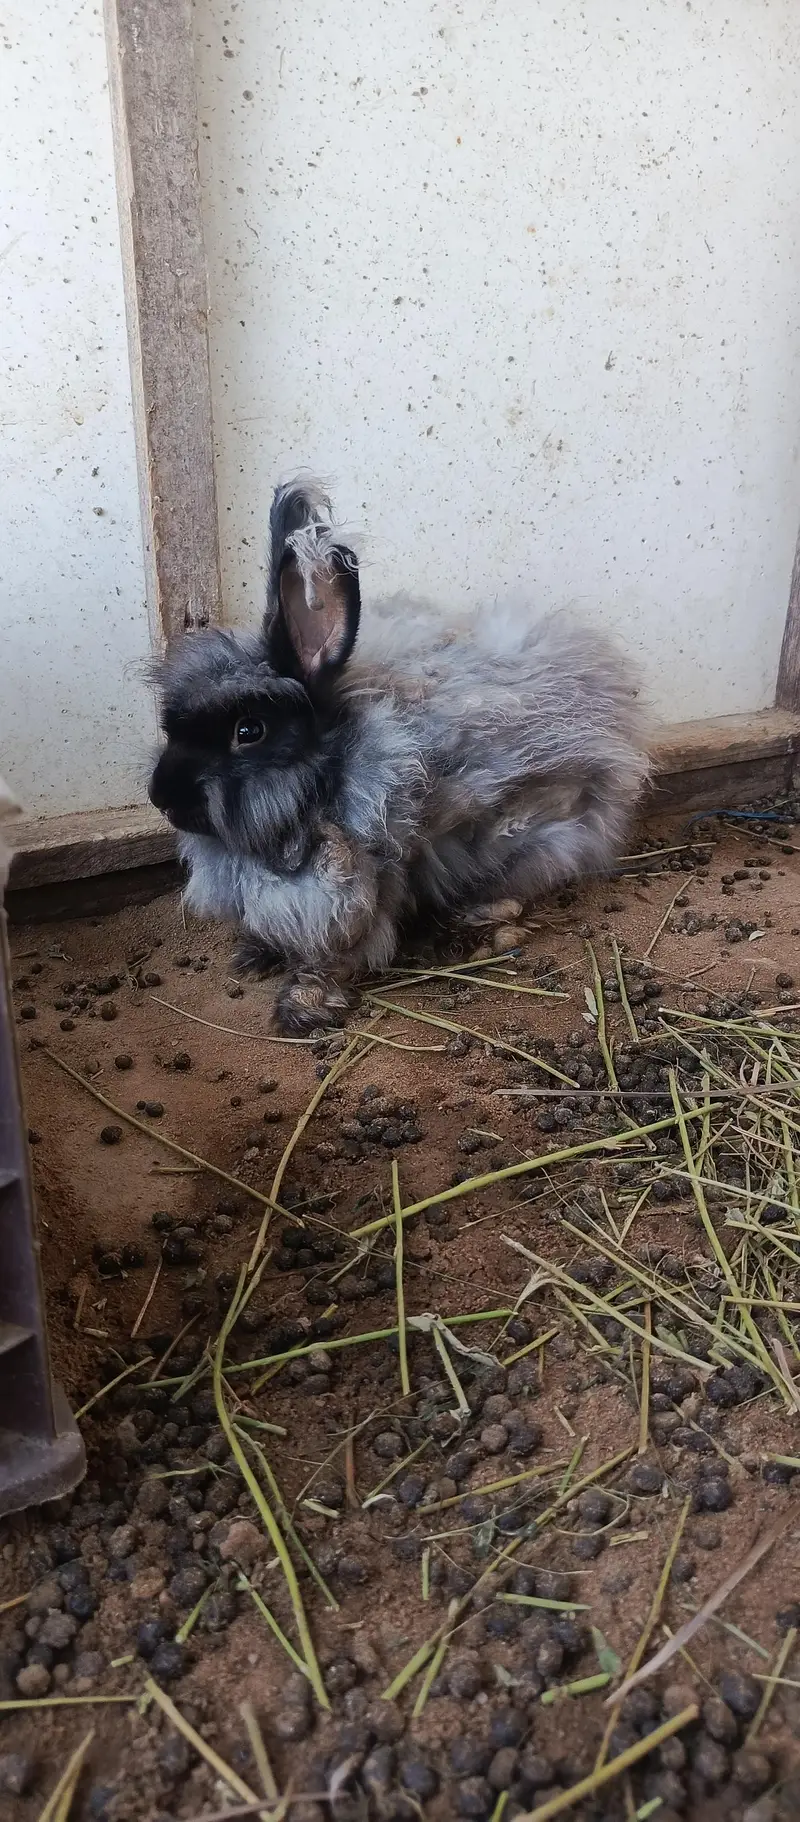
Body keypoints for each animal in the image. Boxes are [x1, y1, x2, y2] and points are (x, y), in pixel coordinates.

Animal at [149, 478, 650, 1033]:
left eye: (249, 730)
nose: (160, 797)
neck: (324, 783)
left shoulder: (355, 893)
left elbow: (336, 955)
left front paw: (302, 1008)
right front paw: (253, 956)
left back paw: (480, 915)